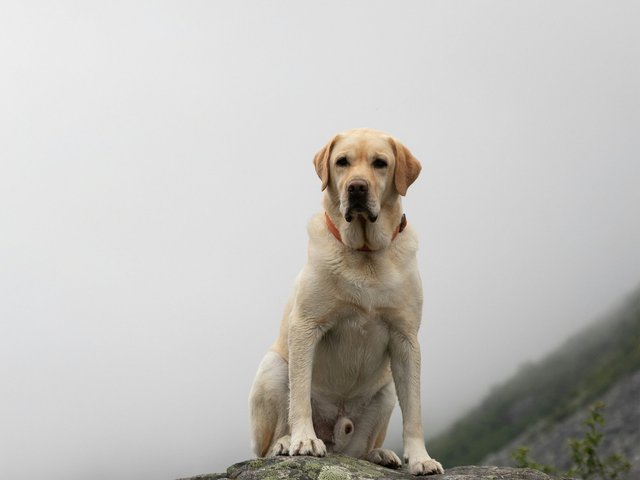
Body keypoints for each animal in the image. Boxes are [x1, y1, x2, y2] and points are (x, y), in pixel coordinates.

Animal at [248, 128, 442, 476]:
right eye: (342, 162)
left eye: (380, 163)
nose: (357, 187)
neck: (365, 254)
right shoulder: (306, 326)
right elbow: (299, 395)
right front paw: (303, 439)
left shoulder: (406, 340)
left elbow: (414, 412)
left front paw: (420, 458)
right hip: (273, 368)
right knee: (267, 446)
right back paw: (285, 442)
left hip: (386, 392)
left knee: (358, 451)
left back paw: (379, 454)